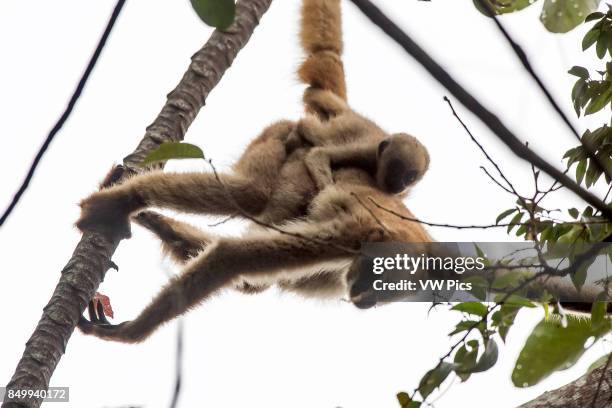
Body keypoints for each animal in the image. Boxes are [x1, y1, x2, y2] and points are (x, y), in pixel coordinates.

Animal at [76, 0, 432, 342]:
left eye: (388, 295)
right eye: (379, 279)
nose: (366, 301)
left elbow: (238, 265)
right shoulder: (354, 233)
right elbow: (233, 255)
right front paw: (130, 332)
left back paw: (150, 218)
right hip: (289, 148)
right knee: (253, 193)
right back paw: (124, 200)